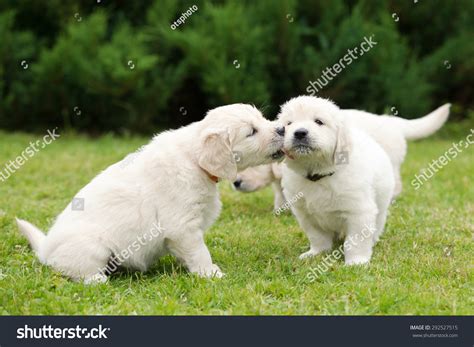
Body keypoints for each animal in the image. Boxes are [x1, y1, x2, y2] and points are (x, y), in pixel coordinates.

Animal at [16, 104, 286, 284]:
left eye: (263, 119)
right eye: (251, 131)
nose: (282, 129)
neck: (194, 158)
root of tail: (45, 249)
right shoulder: (183, 226)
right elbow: (200, 252)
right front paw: (210, 273)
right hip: (93, 248)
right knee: (71, 270)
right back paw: (97, 279)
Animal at [280, 96, 394, 266]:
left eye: (319, 121)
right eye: (289, 123)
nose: (299, 132)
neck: (318, 175)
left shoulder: (359, 212)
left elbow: (355, 242)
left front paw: (356, 262)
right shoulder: (305, 214)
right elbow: (317, 237)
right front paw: (316, 253)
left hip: (381, 206)